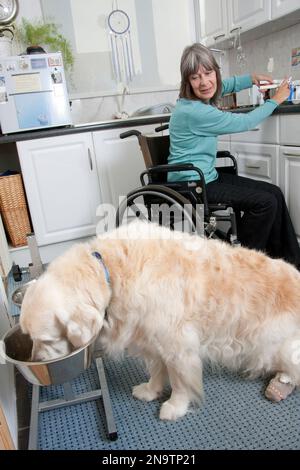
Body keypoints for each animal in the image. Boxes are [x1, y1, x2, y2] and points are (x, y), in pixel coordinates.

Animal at [19, 222, 300, 420]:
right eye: (28, 337)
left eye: (47, 339)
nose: (34, 361)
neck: (111, 271)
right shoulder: (151, 340)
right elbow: (156, 371)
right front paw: (150, 391)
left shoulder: (179, 346)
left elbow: (179, 382)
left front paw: (175, 407)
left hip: (278, 346)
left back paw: (283, 380)